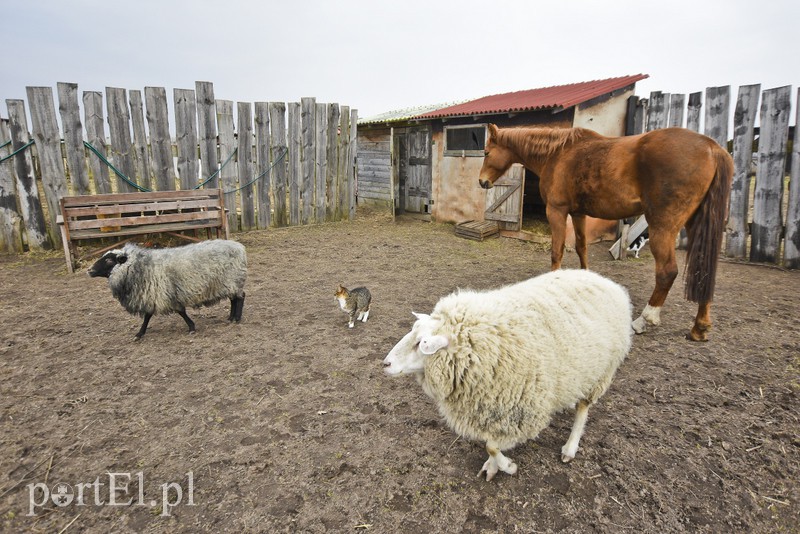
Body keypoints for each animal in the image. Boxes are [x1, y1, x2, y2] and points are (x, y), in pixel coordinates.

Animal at [87, 241, 247, 342]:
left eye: (109, 260)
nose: (89, 270)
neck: (140, 267)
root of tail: (239, 247)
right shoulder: (151, 294)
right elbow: (148, 316)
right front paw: (139, 334)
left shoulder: (164, 293)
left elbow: (180, 311)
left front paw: (191, 327)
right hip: (229, 283)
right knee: (234, 299)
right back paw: (231, 317)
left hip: (232, 279)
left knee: (240, 297)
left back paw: (237, 319)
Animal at [382, 270, 632, 484]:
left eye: (420, 343)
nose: (385, 364)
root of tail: (605, 280)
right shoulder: (492, 408)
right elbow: (491, 444)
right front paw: (494, 466)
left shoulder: (521, 409)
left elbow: (492, 446)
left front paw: (508, 467)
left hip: (601, 372)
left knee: (583, 409)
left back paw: (570, 447)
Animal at [478, 124, 736, 344]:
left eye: (487, 152)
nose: (482, 181)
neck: (558, 154)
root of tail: (712, 148)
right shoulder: (578, 214)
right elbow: (581, 248)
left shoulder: (557, 211)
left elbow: (557, 252)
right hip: (696, 226)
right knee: (704, 271)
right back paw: (700, 327)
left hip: (662, 227)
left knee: (667, 272)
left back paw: (644, 320)